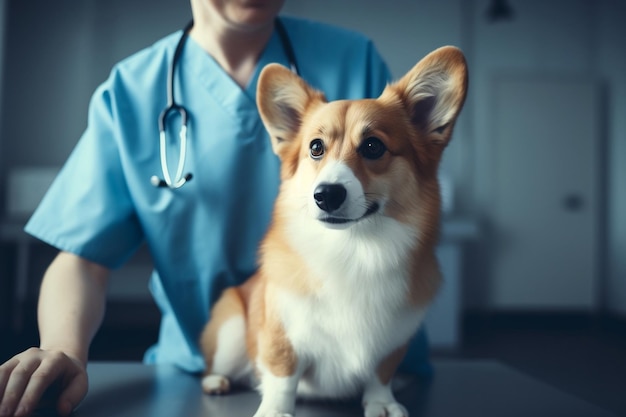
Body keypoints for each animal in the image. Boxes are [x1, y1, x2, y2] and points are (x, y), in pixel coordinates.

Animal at [197, 45, 466, 416]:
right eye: (315, 148)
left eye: (373, 146)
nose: (326, 195)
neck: (354, 248)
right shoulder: (282, 333)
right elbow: (282, 373)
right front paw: (275, 409)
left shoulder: (393, 339)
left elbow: (381, 373)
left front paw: (382, 402)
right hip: (231, 331)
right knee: (217, 365)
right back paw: (216, 382)